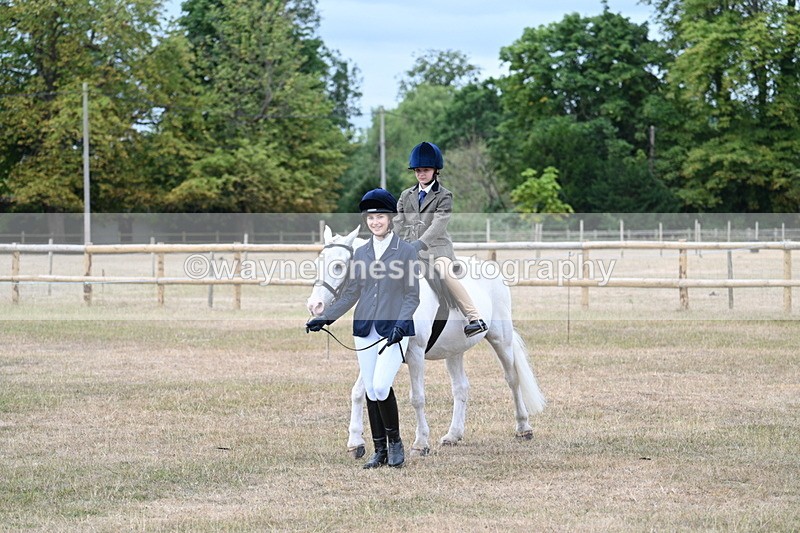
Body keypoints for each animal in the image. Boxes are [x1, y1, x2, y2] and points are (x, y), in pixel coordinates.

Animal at [306, 225, 546, 457]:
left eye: (338, 266)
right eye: (318, 263)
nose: (315, 306)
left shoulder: (415, 353)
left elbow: (417, 398)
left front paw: (420, 444)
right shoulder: (375, 351)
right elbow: (357, 393)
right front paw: (355, 442)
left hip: (500, 340)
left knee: (512, 379)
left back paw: (523, 427)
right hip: (454, 350)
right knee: (461, 388)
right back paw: (453, 435)